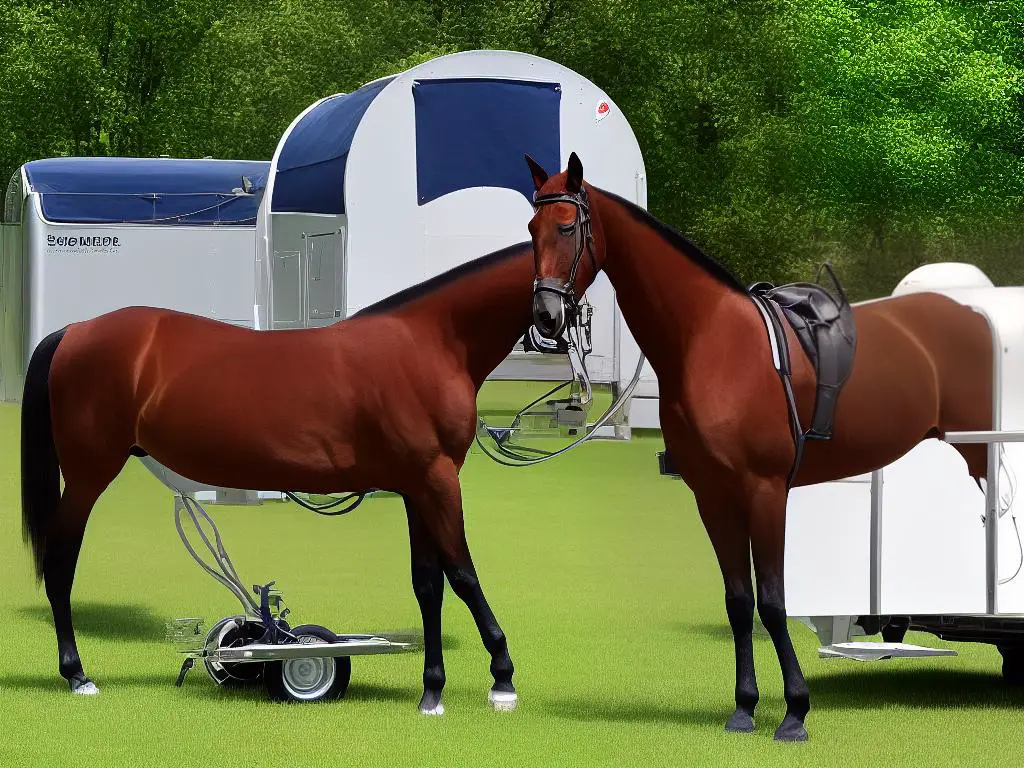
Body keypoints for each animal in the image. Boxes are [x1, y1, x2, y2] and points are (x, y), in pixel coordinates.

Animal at [22, 241, 544, 716]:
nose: (555, 319)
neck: (429, 343)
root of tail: (74, 331)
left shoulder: (418, 487)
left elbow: (428, 582)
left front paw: (433, 688)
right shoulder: (437, 481)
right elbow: (464, 575)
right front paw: (502, 677)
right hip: (88, 477)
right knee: (60, 563)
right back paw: (77, 674)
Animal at [520, 154, 991, 741]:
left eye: (566, 227)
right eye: (531, 229)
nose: (545, 317)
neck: (708, 339)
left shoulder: (764, 492)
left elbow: (772, 600)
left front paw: (794, 712)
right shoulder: (713, 497)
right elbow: (739, 601)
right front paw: (744, 707)